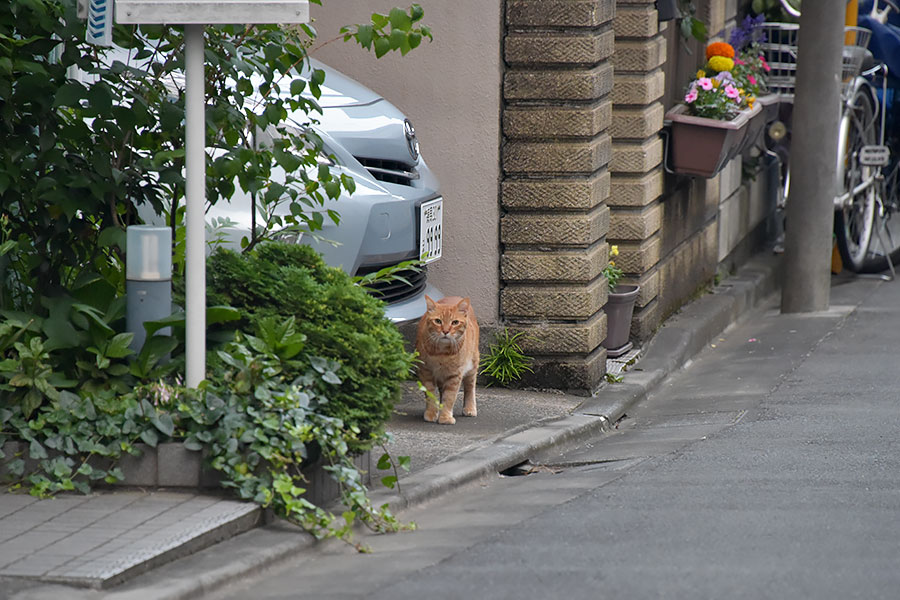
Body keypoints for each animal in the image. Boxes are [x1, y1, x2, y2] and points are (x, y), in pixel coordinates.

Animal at [416, 294, 482, 424]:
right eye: (438, 321)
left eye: (455, 322)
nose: (445, 331)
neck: (441, 353)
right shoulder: (426, 372)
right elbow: (431, 394)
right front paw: (432, 413)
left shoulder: (454, 375)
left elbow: (450, 397)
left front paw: (445, 417)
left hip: (472, 366)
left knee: (470, 387)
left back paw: (470, 408)